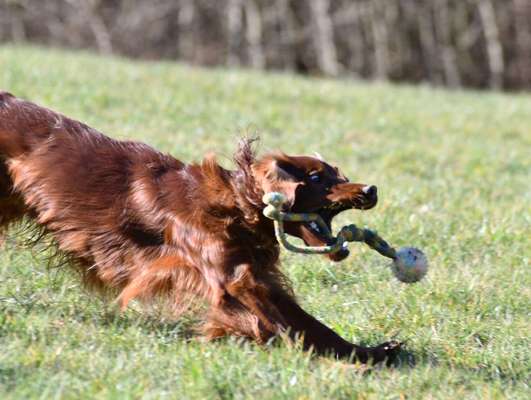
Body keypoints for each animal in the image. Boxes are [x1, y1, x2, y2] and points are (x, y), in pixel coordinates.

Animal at [0, 92, 400, 364]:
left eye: (339, 174)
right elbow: (276, 326)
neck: (235, 207)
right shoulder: (233, 281)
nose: (371, 190)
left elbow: (310, 324)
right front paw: (333, 363)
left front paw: (367, 353)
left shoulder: (257, 278)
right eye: (316, 177)